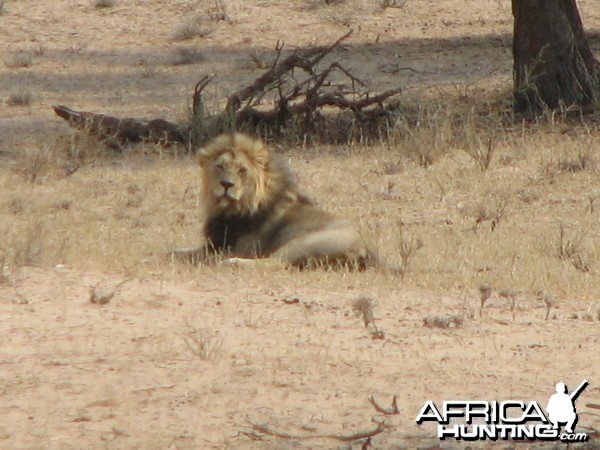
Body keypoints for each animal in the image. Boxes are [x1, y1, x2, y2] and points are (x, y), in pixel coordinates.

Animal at [171, 132, 376, 268]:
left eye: (242, 170)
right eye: (220, 166)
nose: (226, 184)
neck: (229, 210)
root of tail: (365, 249)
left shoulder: (235, 248)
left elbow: (193, 256)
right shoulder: (213, 245)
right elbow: (175, 252)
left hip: (302, 243)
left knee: (274, 263)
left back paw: (231, 263)